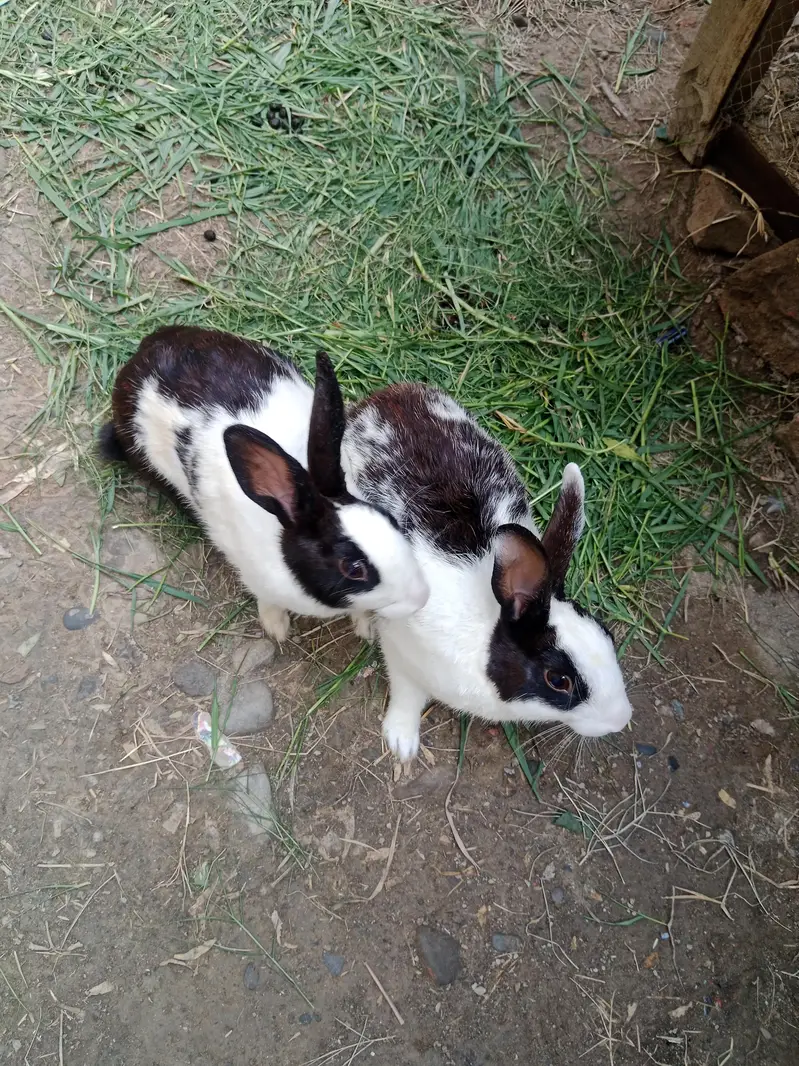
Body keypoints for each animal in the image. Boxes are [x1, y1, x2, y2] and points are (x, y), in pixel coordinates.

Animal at [99, 326, 429, 641]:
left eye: (389, 520)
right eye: (353, 569)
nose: (421, 598)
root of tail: (143, 352)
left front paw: (365, 628)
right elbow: (268, 601)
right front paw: (276, 628)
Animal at [341, 383, 633, 760]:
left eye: (606, 632)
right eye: (558, 680)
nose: (620, 720)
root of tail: (381, 399)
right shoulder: (400, 651)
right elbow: (407, 695)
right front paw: (401, 742)